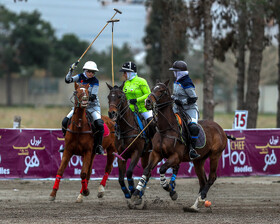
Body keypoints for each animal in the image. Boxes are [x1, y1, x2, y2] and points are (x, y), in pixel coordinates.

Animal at [131, 81, 234, 212]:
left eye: (162, 90)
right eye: (153, 88)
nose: (147, 102)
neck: (166, 129)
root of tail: (221, 129)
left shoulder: (176, 157)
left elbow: (162, 169)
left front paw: (170, 189)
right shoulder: (156, 154)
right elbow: (147, 170)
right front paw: (135, 194)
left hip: (215, 155)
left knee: (212, 177)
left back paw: (201, 198)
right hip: (199, 160)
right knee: (202, 181)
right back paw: (194, 206)